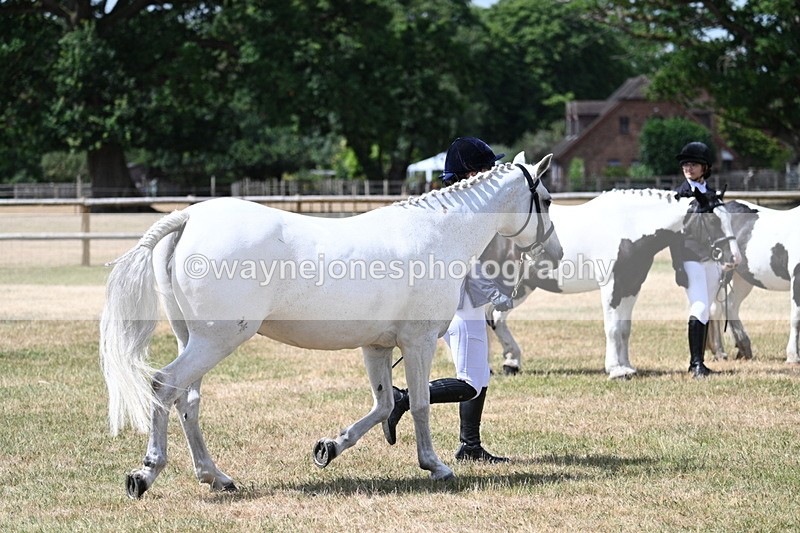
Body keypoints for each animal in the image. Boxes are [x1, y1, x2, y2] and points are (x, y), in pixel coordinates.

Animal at [99, 152, 562, 499]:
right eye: (546, 199)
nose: (554, 252)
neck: (437, 233)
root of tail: (190, 219)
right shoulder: (418, 342)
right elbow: (419, 404)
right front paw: (435, 466)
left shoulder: (377, 346)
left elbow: (384, 404)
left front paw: (329, 448)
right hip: (216, 340)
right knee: (164, 386)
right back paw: (145, 474)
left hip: (194, 340)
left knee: (187, 400)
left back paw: (216, 477)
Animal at [483, 187, 741, 378]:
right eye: (712, 220)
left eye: (729, 218)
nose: (734, 258)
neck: (629, 226)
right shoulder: (612, 285)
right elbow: (613, 327)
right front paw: (615, 370)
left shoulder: (631, 286)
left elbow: (624, 328)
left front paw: (627, 366)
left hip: (521, 287)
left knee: (495, 318)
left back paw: (509, 363)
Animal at [707, 200, 800, 363]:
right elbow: (796, 317)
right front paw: (793, 357)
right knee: (715, 308)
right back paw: (719, 352)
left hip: (743, 279)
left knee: (730, 305)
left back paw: (743, 347)